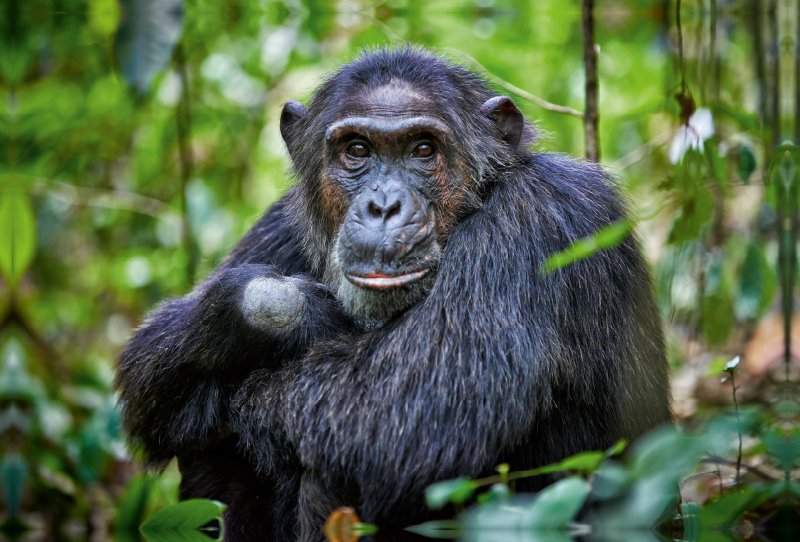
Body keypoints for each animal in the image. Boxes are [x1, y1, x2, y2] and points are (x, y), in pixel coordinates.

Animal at [115, 47, 672, 542]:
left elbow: (409, 415)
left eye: (423, 149)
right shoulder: (280, 225)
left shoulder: (545, 215)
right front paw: (300, 313)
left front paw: (273, 380)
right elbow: (149, 362)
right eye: (357, 151)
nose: (384, 206)